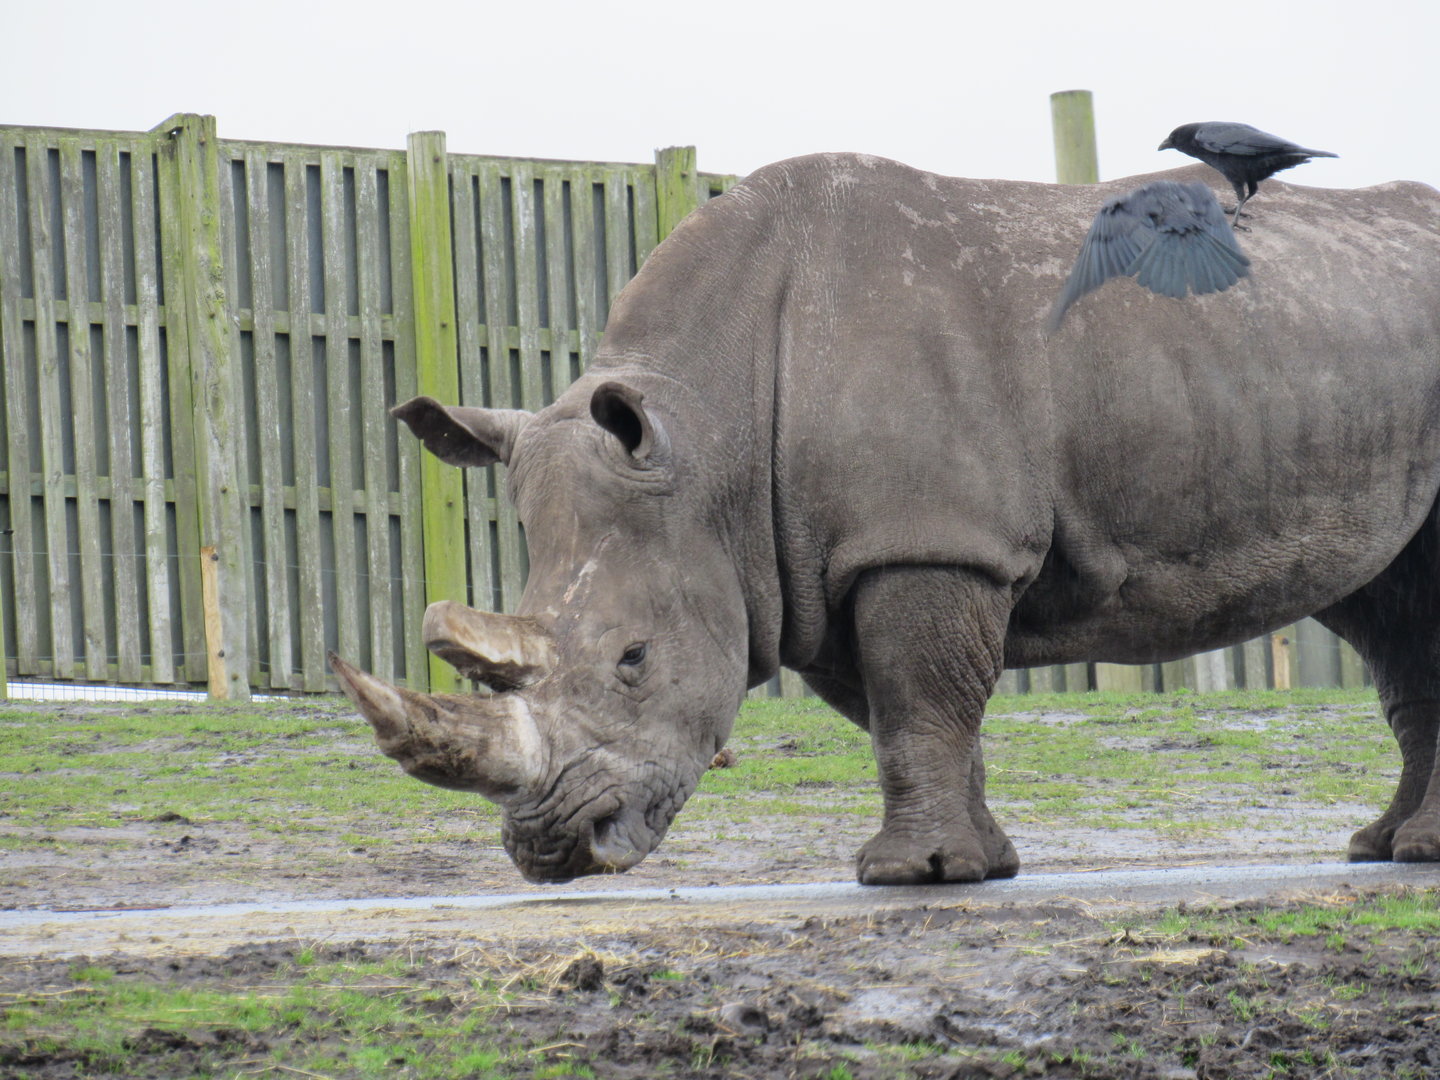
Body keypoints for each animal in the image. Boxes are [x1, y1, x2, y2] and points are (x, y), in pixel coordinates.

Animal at [330, 153, 1440, 886]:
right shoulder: (821, 560)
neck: (712, 431)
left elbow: (922, 701)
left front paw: (911, 876)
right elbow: (909, 710)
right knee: (1390, 610)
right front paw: (981, 864)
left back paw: (1410, 852)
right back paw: (1383, 850)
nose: (549, 848)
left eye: (633, 662)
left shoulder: (928, 539)